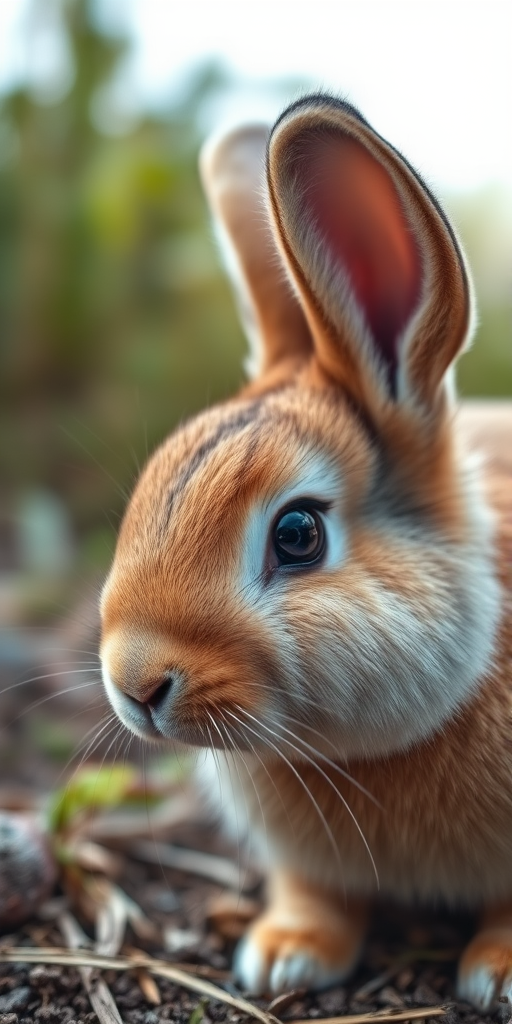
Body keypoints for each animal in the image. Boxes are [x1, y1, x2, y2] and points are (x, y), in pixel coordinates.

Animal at [100, 93, 512, 1010]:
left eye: (297, 535)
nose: (135, 684)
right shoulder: (305, 864)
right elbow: (316, 895)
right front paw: (284, 954)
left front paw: (498, 974)